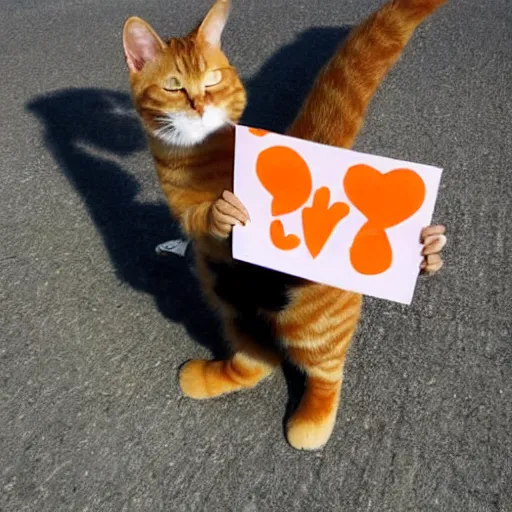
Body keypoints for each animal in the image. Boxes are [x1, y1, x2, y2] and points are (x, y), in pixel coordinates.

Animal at [123, 0, 448, 448]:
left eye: (213, 79)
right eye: (173, 87)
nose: (200, 105)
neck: (203, 156)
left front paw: (426, 249)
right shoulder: (182, 205)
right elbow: (196, 216)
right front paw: (222, 212)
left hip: (308, 322)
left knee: (326, 371)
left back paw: (312, 420)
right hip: (228, 307)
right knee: (256, 363)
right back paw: (204, 377)